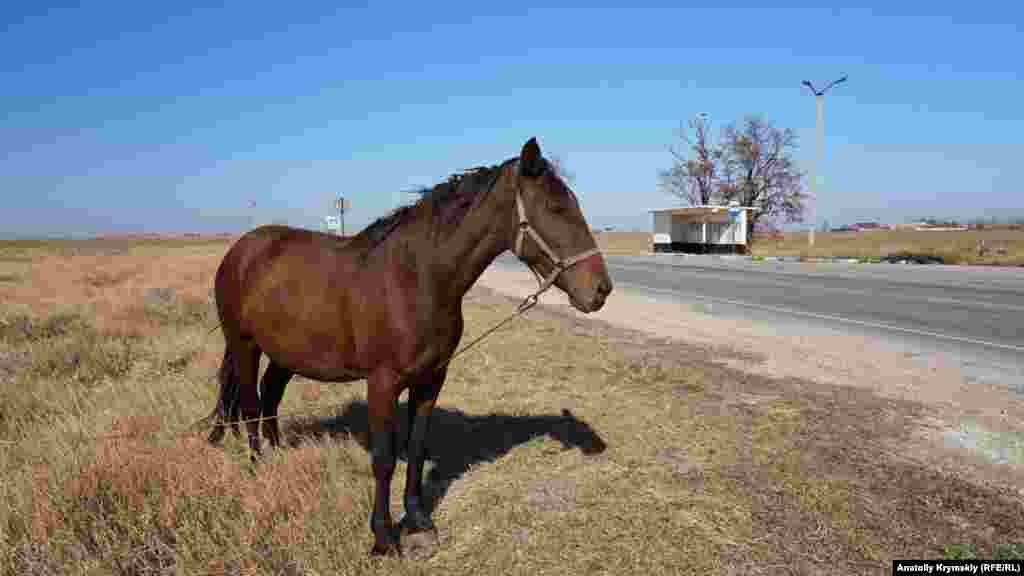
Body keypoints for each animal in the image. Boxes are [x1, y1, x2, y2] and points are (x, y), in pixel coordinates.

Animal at [203, 136, 610, 553]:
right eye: (556, 208)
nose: (600, 290)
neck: (417, 278)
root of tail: (241, 250)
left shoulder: (431, 379)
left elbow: (416, 448)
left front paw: (418, 519)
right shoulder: (383, 383)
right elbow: (384, 459)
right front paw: (383, 537)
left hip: (286, 354)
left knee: (270, 396)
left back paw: (279, 453)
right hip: (244, 345)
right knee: (250, 405)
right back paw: (258, 465)